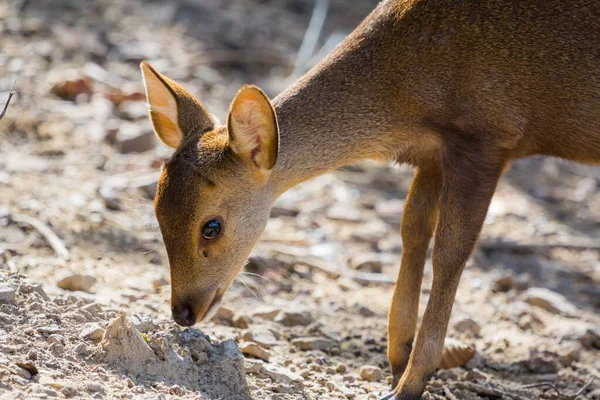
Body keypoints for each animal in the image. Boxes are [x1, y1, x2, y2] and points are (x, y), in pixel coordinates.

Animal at [142, 1, 600, 398]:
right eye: (157, 213)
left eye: (211, 226)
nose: (182, 311)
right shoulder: (433, 153)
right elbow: (413, 232)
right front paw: (397, 362)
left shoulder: (488, 136)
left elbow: (451, 253)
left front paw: (411, 383)